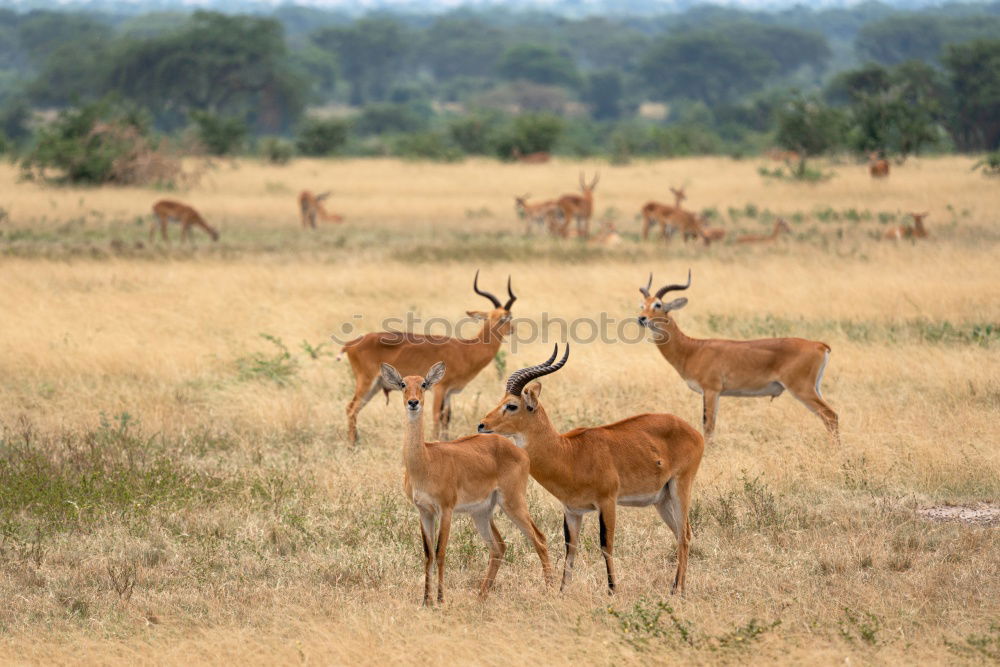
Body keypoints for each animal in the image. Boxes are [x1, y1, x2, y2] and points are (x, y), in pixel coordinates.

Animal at [340, 274, 520, 446]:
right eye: (505, 317)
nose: (512, 329)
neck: (465, 350)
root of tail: (350, 344)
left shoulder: (449, 392)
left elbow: (447, 417)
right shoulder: (439, 389)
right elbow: (436, 416)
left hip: (375, 386)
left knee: (354, 410)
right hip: (366, 382)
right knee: (350, 408)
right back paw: (351, 445)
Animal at [380, 362, 556, 608]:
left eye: (423, 384)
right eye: (403, 384)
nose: (413, 402)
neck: (425, 461)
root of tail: (518, 450)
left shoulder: (445, 509)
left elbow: (440, 551)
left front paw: (441, 600)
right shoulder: (424, 511)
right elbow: (428, 554)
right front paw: (425, 600)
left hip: (513, 503)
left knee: (539, 538)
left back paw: (551, 590)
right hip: (481, 513)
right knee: (498, 546)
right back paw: (481, 597)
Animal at [476, 344, 704, 596]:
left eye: (512, 405)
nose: (482, 425)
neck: (569, 453)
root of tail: (692, 430)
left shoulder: (607, 502)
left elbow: (606, 544)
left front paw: (612, 590)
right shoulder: (572, 510)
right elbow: (570, 549)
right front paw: (562, 591)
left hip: (680, 487)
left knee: (684, 535)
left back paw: (678, 591)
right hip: (661, 500)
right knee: (682, 533)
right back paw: (677, 588)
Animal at [636, 268, 840, 446]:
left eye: (658, 304)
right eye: (642, 305)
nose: (641, 318)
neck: (692, 349)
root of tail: (819, 345)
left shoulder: (711, 390)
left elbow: (708, 426)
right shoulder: (713, 393)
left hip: (801, 389)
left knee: (830, 415)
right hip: (815, 388)